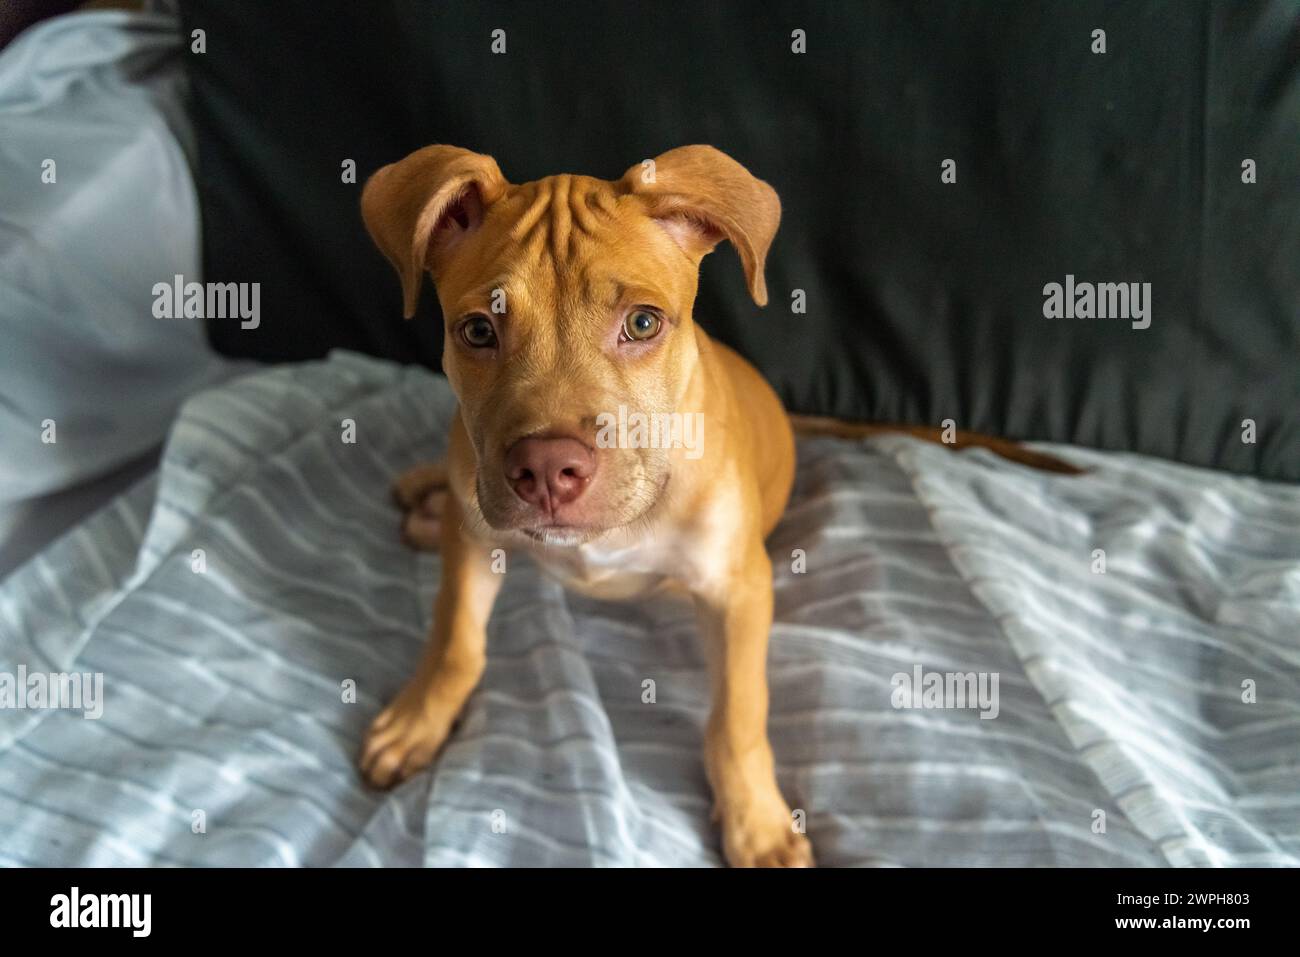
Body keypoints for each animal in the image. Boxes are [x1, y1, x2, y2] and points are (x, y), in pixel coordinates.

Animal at [361, 143, 811, 868]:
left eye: (643, 323)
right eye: (478, 330)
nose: (547, 470)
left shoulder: (738, 588)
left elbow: (738, 714)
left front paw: (757, 822)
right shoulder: (476, 541)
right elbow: (455, 640)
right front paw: (418, 718)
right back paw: (426, 498)